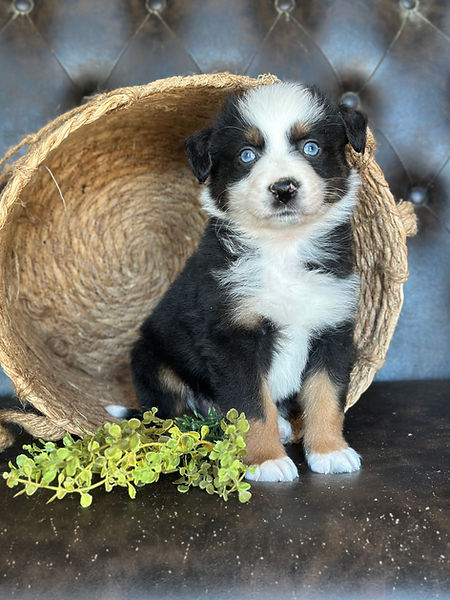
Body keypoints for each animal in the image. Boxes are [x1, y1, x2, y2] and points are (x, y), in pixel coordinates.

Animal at [129, 82, 367, 482]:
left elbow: (327, 397)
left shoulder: (332, 326)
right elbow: (251, 406)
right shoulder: (232, 336)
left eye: (311, 147)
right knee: (171, 414)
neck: (283, 248)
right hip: (150, 358)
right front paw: (266, 460)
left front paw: (329, 451)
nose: (284, 188)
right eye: (246, 155)